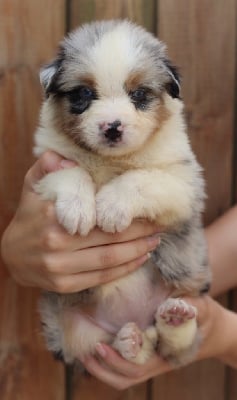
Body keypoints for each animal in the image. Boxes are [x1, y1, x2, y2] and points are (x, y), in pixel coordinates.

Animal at [33, 20, 211, 368]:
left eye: (139, 94)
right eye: (84, 93)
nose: (112, 127)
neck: (109, 160)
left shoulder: (183, 182)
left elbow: (139, 178)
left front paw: (111, 207)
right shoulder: (49, 161)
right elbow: (72, 172)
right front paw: (79, 210)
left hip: (184, 286)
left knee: (173, 346)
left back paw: (175, 319)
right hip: (73, 330)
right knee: (130, 349)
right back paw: (130, 340)